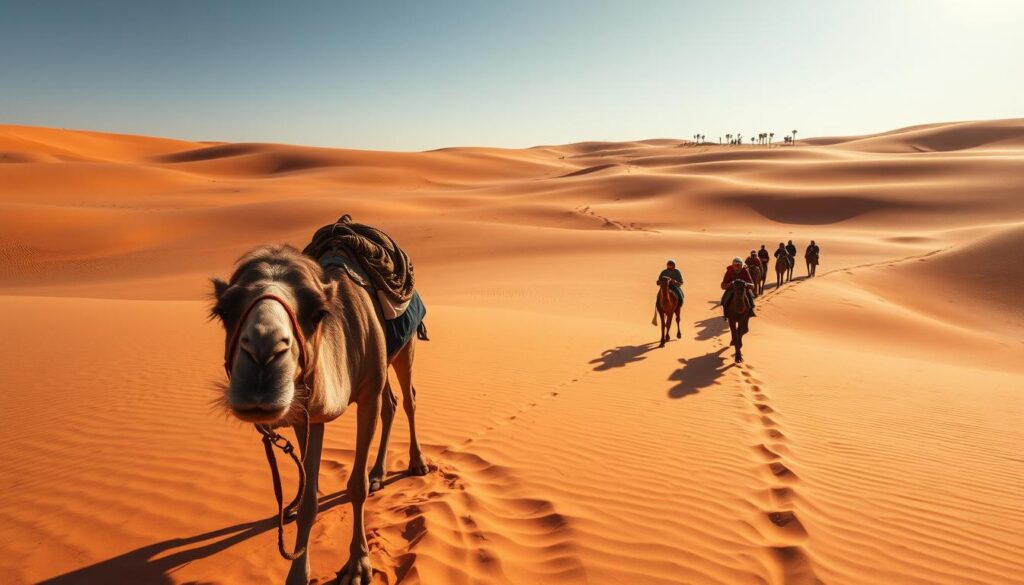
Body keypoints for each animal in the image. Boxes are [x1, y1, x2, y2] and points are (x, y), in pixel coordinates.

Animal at [210, 245, 428, 585]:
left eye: (318, 312)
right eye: (223, 312)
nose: (262, 359)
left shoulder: (368, 391)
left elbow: (356, 486)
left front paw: (358, 565)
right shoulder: (307, 413)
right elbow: (311, 499)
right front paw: (297, 572)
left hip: (403, 350)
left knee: (408, 400)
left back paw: (416, 463)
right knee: (391, 403)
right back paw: (377, 475)